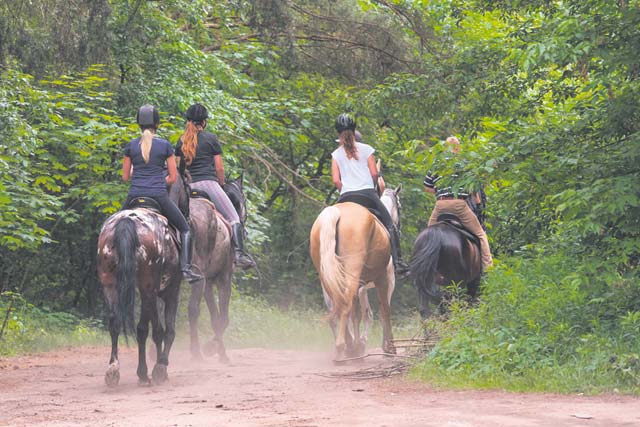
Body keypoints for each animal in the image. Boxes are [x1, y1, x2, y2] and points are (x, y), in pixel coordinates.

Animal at [96, 174, 190, 387]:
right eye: (188, 188)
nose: (187, 214)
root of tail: (126, 222)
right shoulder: (171, 291)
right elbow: (165, 330)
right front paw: (160, 367)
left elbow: (147, 329)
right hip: (148, 287)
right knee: (152, 329)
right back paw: (151, 371)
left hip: (110, 284)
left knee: (115, 322)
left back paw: (113, 370)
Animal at [187, 176, 246, 363]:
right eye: (243, 200)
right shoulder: (223, 279)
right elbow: (223, 319)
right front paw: (216, 351)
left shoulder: (209, 282)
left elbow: (214, 318)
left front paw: (216, 349)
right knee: (192, 310)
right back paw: (196, 353)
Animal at [309, 186, 402, 361]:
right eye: (399, 206)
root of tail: (335, 213)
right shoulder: (386, 280)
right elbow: (383, 310)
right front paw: (389, 347)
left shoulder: (361, 286)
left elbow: (359, 313)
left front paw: (358, 343)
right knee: (347, 306)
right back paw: (343, 348)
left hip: (327, 276)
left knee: (336, 307)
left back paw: (348, 345)